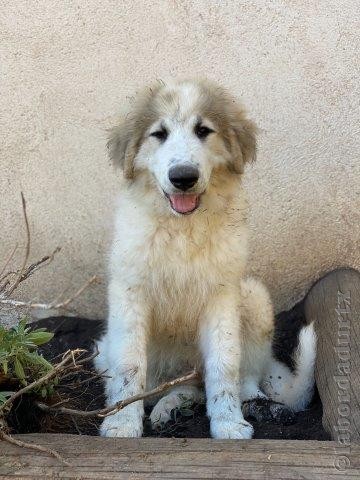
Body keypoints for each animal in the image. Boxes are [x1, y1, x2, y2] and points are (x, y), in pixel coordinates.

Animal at [95, 79, 316, 438]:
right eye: (159, 134)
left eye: (203, 131)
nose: (183, 177)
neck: (182, 229)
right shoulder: (130, 293)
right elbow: (129, 366)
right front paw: (122, 423)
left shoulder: (221, 296)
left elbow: (224, 366)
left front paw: (227, 423)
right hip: (104, 351)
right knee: (166, 385)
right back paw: (167, 408)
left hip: (254, 298)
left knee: (241, 378)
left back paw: (257, 407)